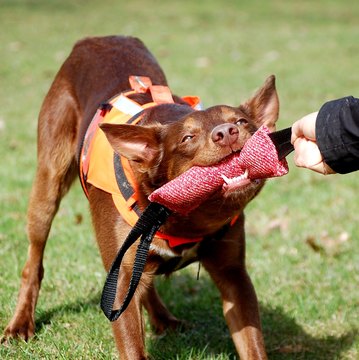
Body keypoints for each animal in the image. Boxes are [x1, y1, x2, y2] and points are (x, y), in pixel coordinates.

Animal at [2, 35, 280, 358]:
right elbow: (132, 343)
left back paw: (163, 318)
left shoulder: (233, 274)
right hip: (47, 184)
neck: (181, 216)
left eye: (242, 121)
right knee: (34, 260)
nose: (227, 132)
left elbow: (252, 343)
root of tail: (93, 40)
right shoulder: (119, 279)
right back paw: (20, 324)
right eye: (188, 138)